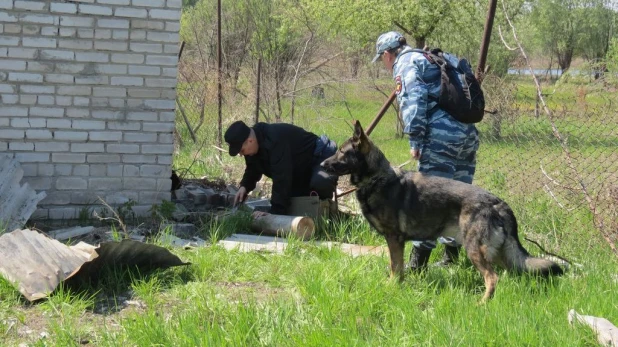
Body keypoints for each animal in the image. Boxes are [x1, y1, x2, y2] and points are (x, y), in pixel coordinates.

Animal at [320, 121, 560, 304]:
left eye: (341, 152)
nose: (322, 163)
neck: (376, 178)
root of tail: (498, 203)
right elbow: (398, 267)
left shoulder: (394, 239)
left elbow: (395, 267)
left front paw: (391, 286)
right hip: (498, 252)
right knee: (509, 272)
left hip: (475, 249)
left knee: (492, 278)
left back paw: (482, 304)